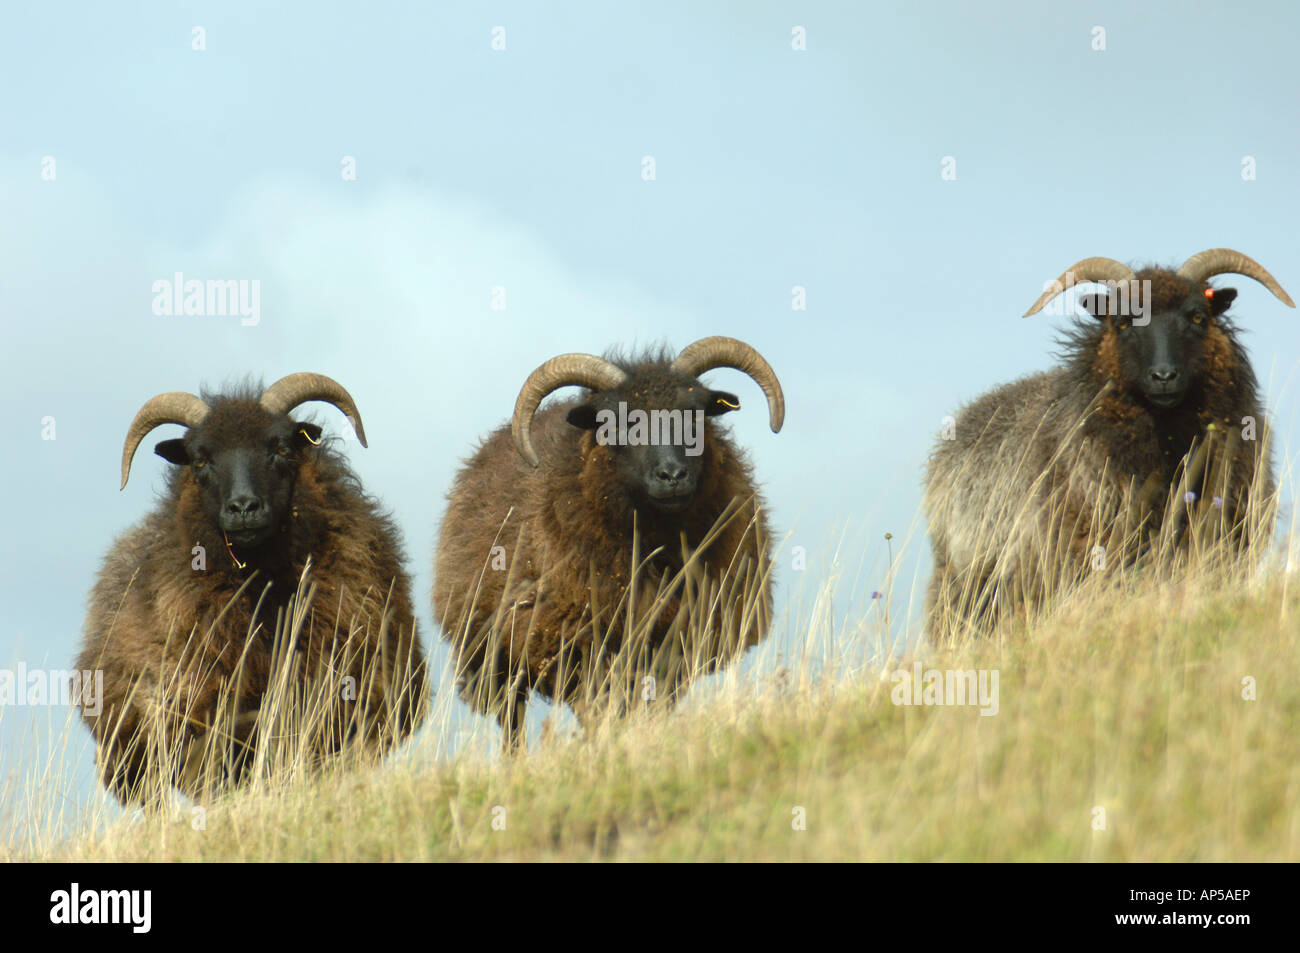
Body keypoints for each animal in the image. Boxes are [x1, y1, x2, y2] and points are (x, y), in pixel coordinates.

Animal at [433, 336, 784, 749]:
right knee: (512, 720)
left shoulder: (676, 642)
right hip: (491, 656)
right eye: (619, 423)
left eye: (696, 415)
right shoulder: (578, 645)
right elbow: (599, 711)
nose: (672, 475)